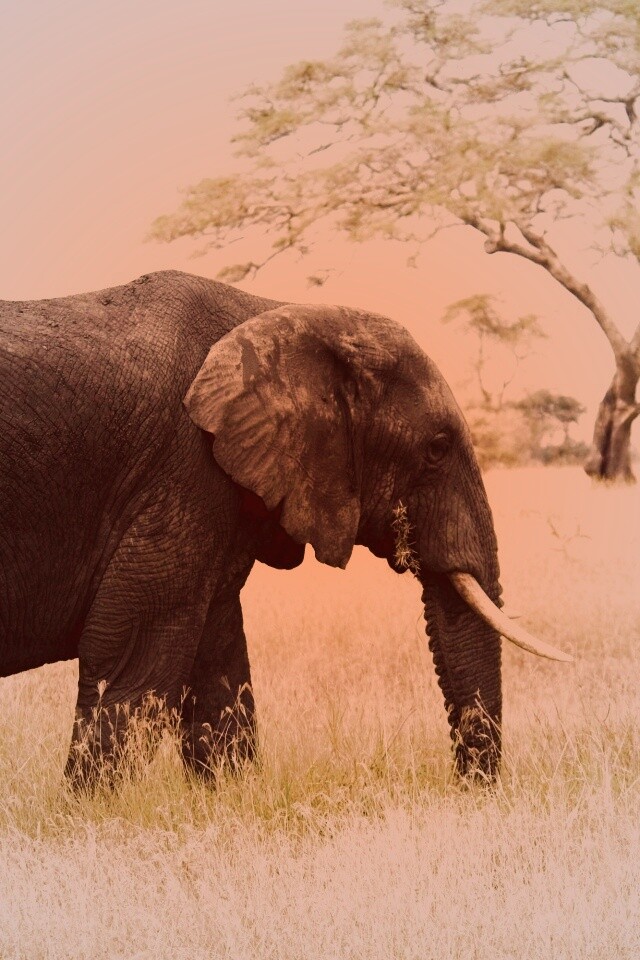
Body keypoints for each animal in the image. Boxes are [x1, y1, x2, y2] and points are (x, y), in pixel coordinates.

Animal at [0, 270, 571, 784]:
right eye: (436, 448)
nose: (467, 789)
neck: (280, 312)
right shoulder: (181, 470)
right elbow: (133, 659)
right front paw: (91, 809)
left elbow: (218, 662)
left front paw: (229, 795)